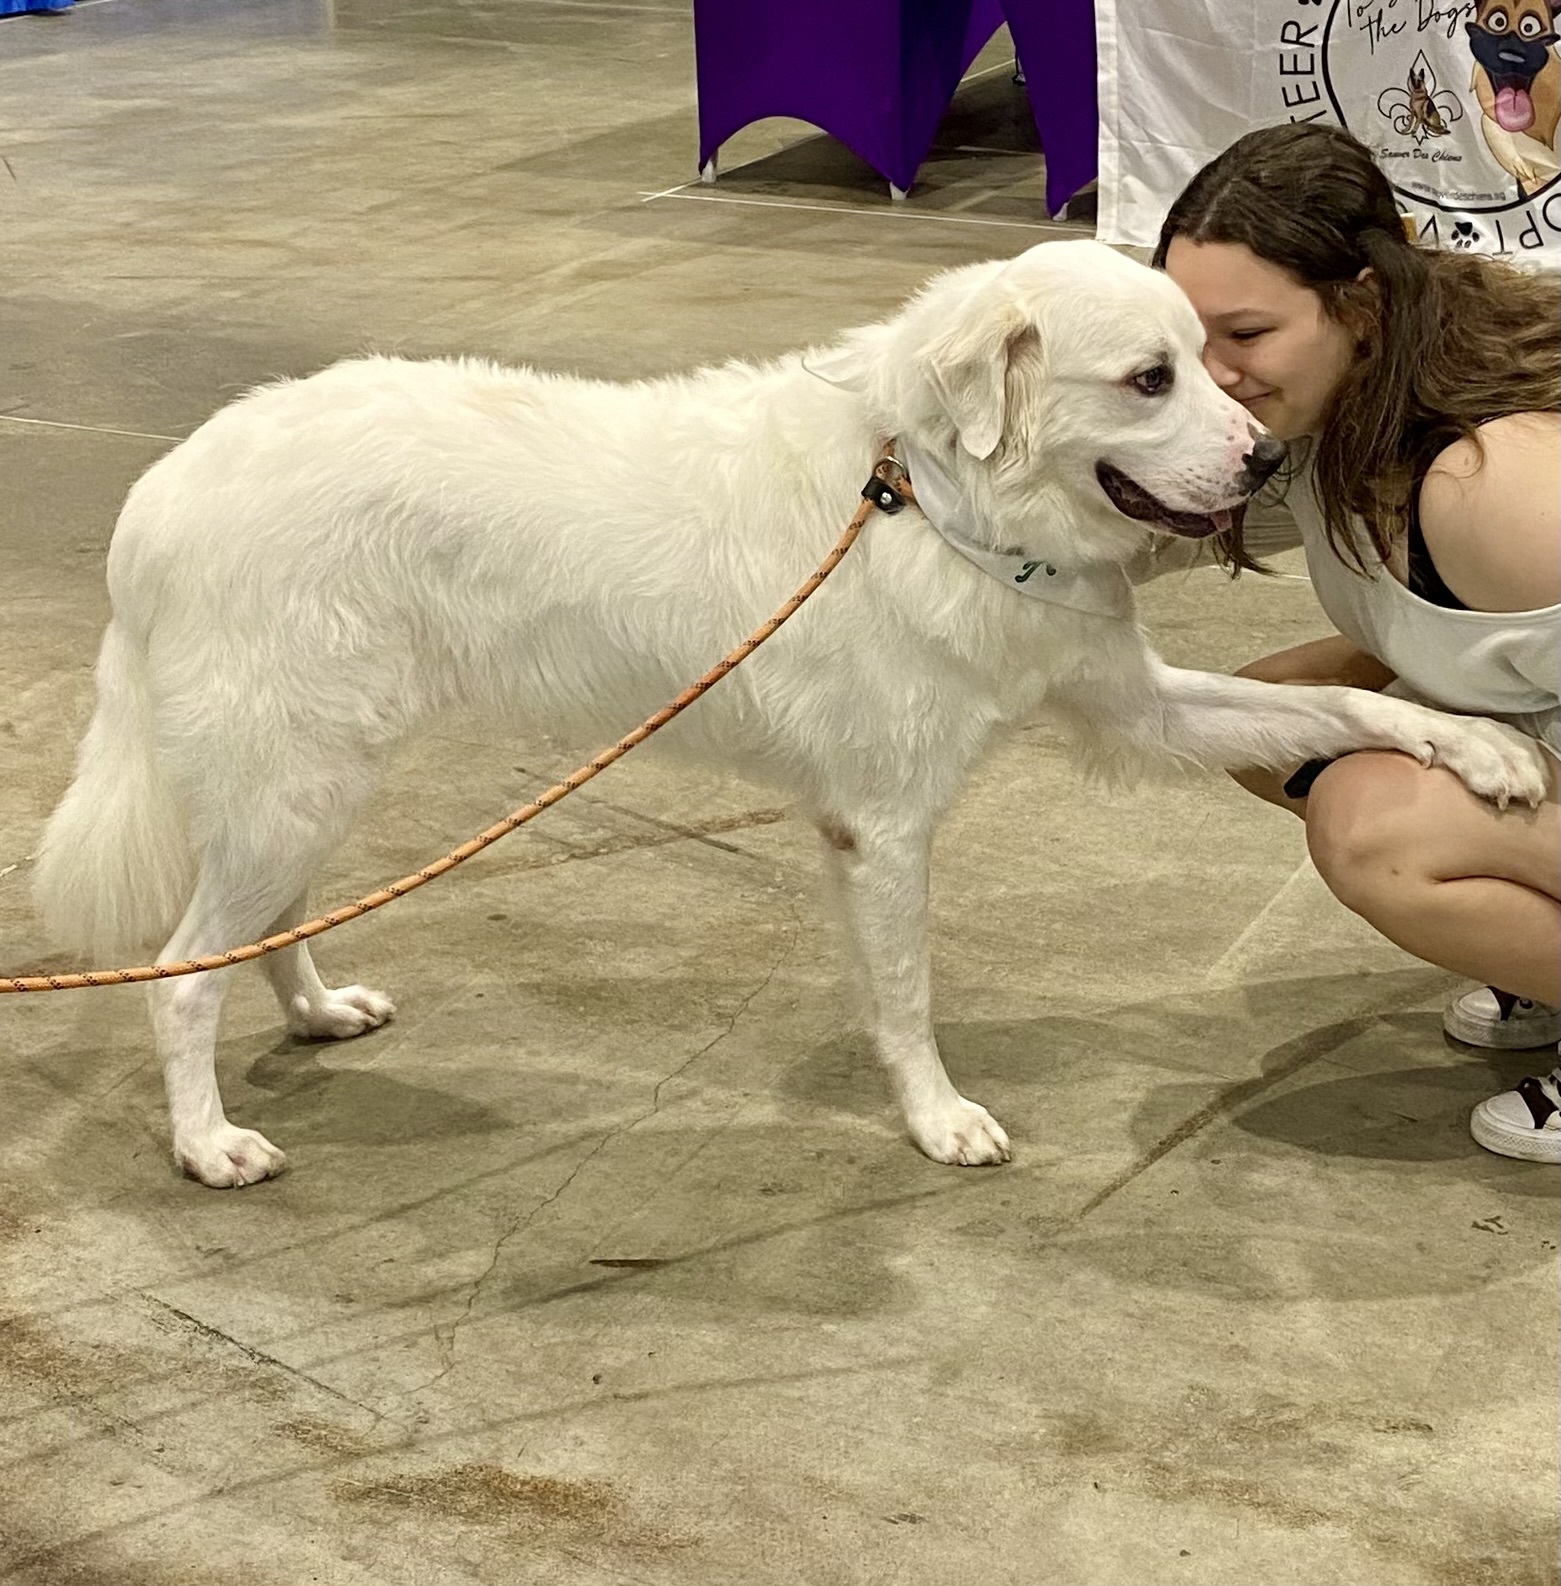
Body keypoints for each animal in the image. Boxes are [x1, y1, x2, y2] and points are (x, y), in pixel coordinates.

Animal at [36, 231, 1548, 1179]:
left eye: (1220, 355)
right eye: (1148, 378)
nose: (1264, 461)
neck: (925, 491)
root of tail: (161, 489)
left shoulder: (1133, 704)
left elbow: (1346, 712)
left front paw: (1482, 751)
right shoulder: (883, 828)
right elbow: (910, 992)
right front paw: (939, 1119)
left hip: (311, 779)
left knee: (259, 927)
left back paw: (315, 1012)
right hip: (294, 776)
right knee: (181, 973)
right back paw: (207, 1143)